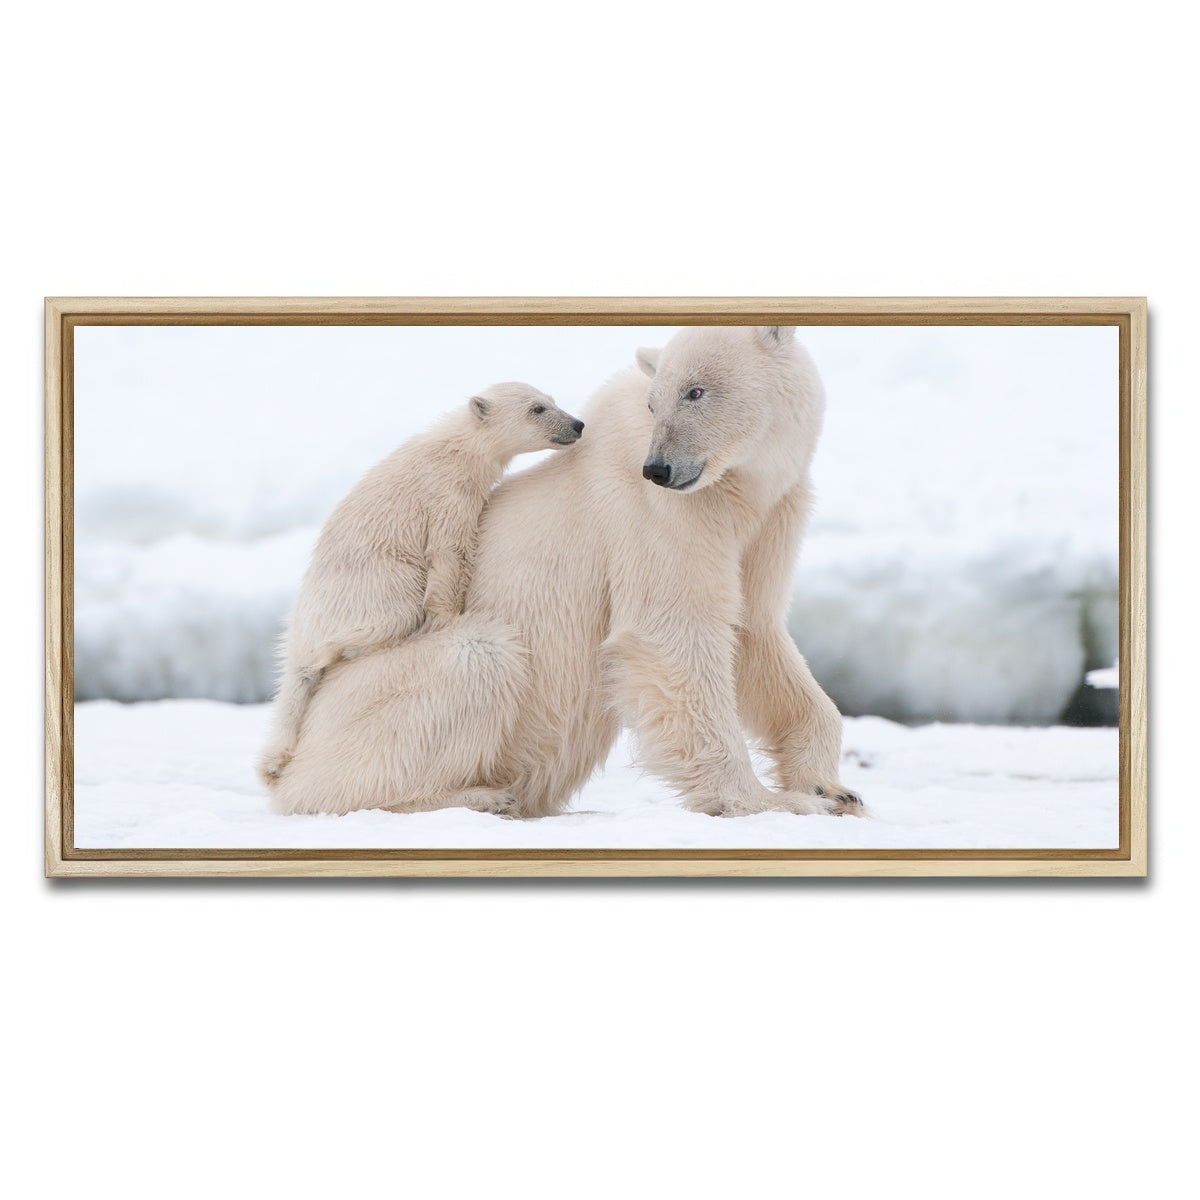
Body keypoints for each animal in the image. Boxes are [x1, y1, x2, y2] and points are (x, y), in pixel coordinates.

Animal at [257, 381, 584, 788]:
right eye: (537, 408)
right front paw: (447, 618)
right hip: (375, 585)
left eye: (552, 400)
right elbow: (450, 551)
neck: (457, 447)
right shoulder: (447, 494)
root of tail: (301, 630)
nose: (577, 424)